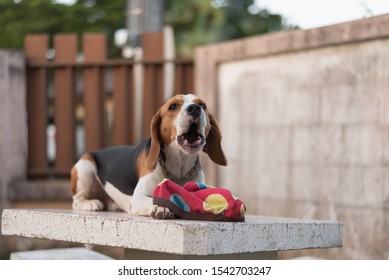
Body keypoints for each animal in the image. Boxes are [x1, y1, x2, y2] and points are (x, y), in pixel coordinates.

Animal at [71, 94, 226, 219]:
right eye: (173, 106)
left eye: (202, 105)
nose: (194, 108)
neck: (179, 166)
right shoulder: (138, 197)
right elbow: (152, 199)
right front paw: (160, 206)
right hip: (85, 166)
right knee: (76, 200)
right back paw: (91, 203)